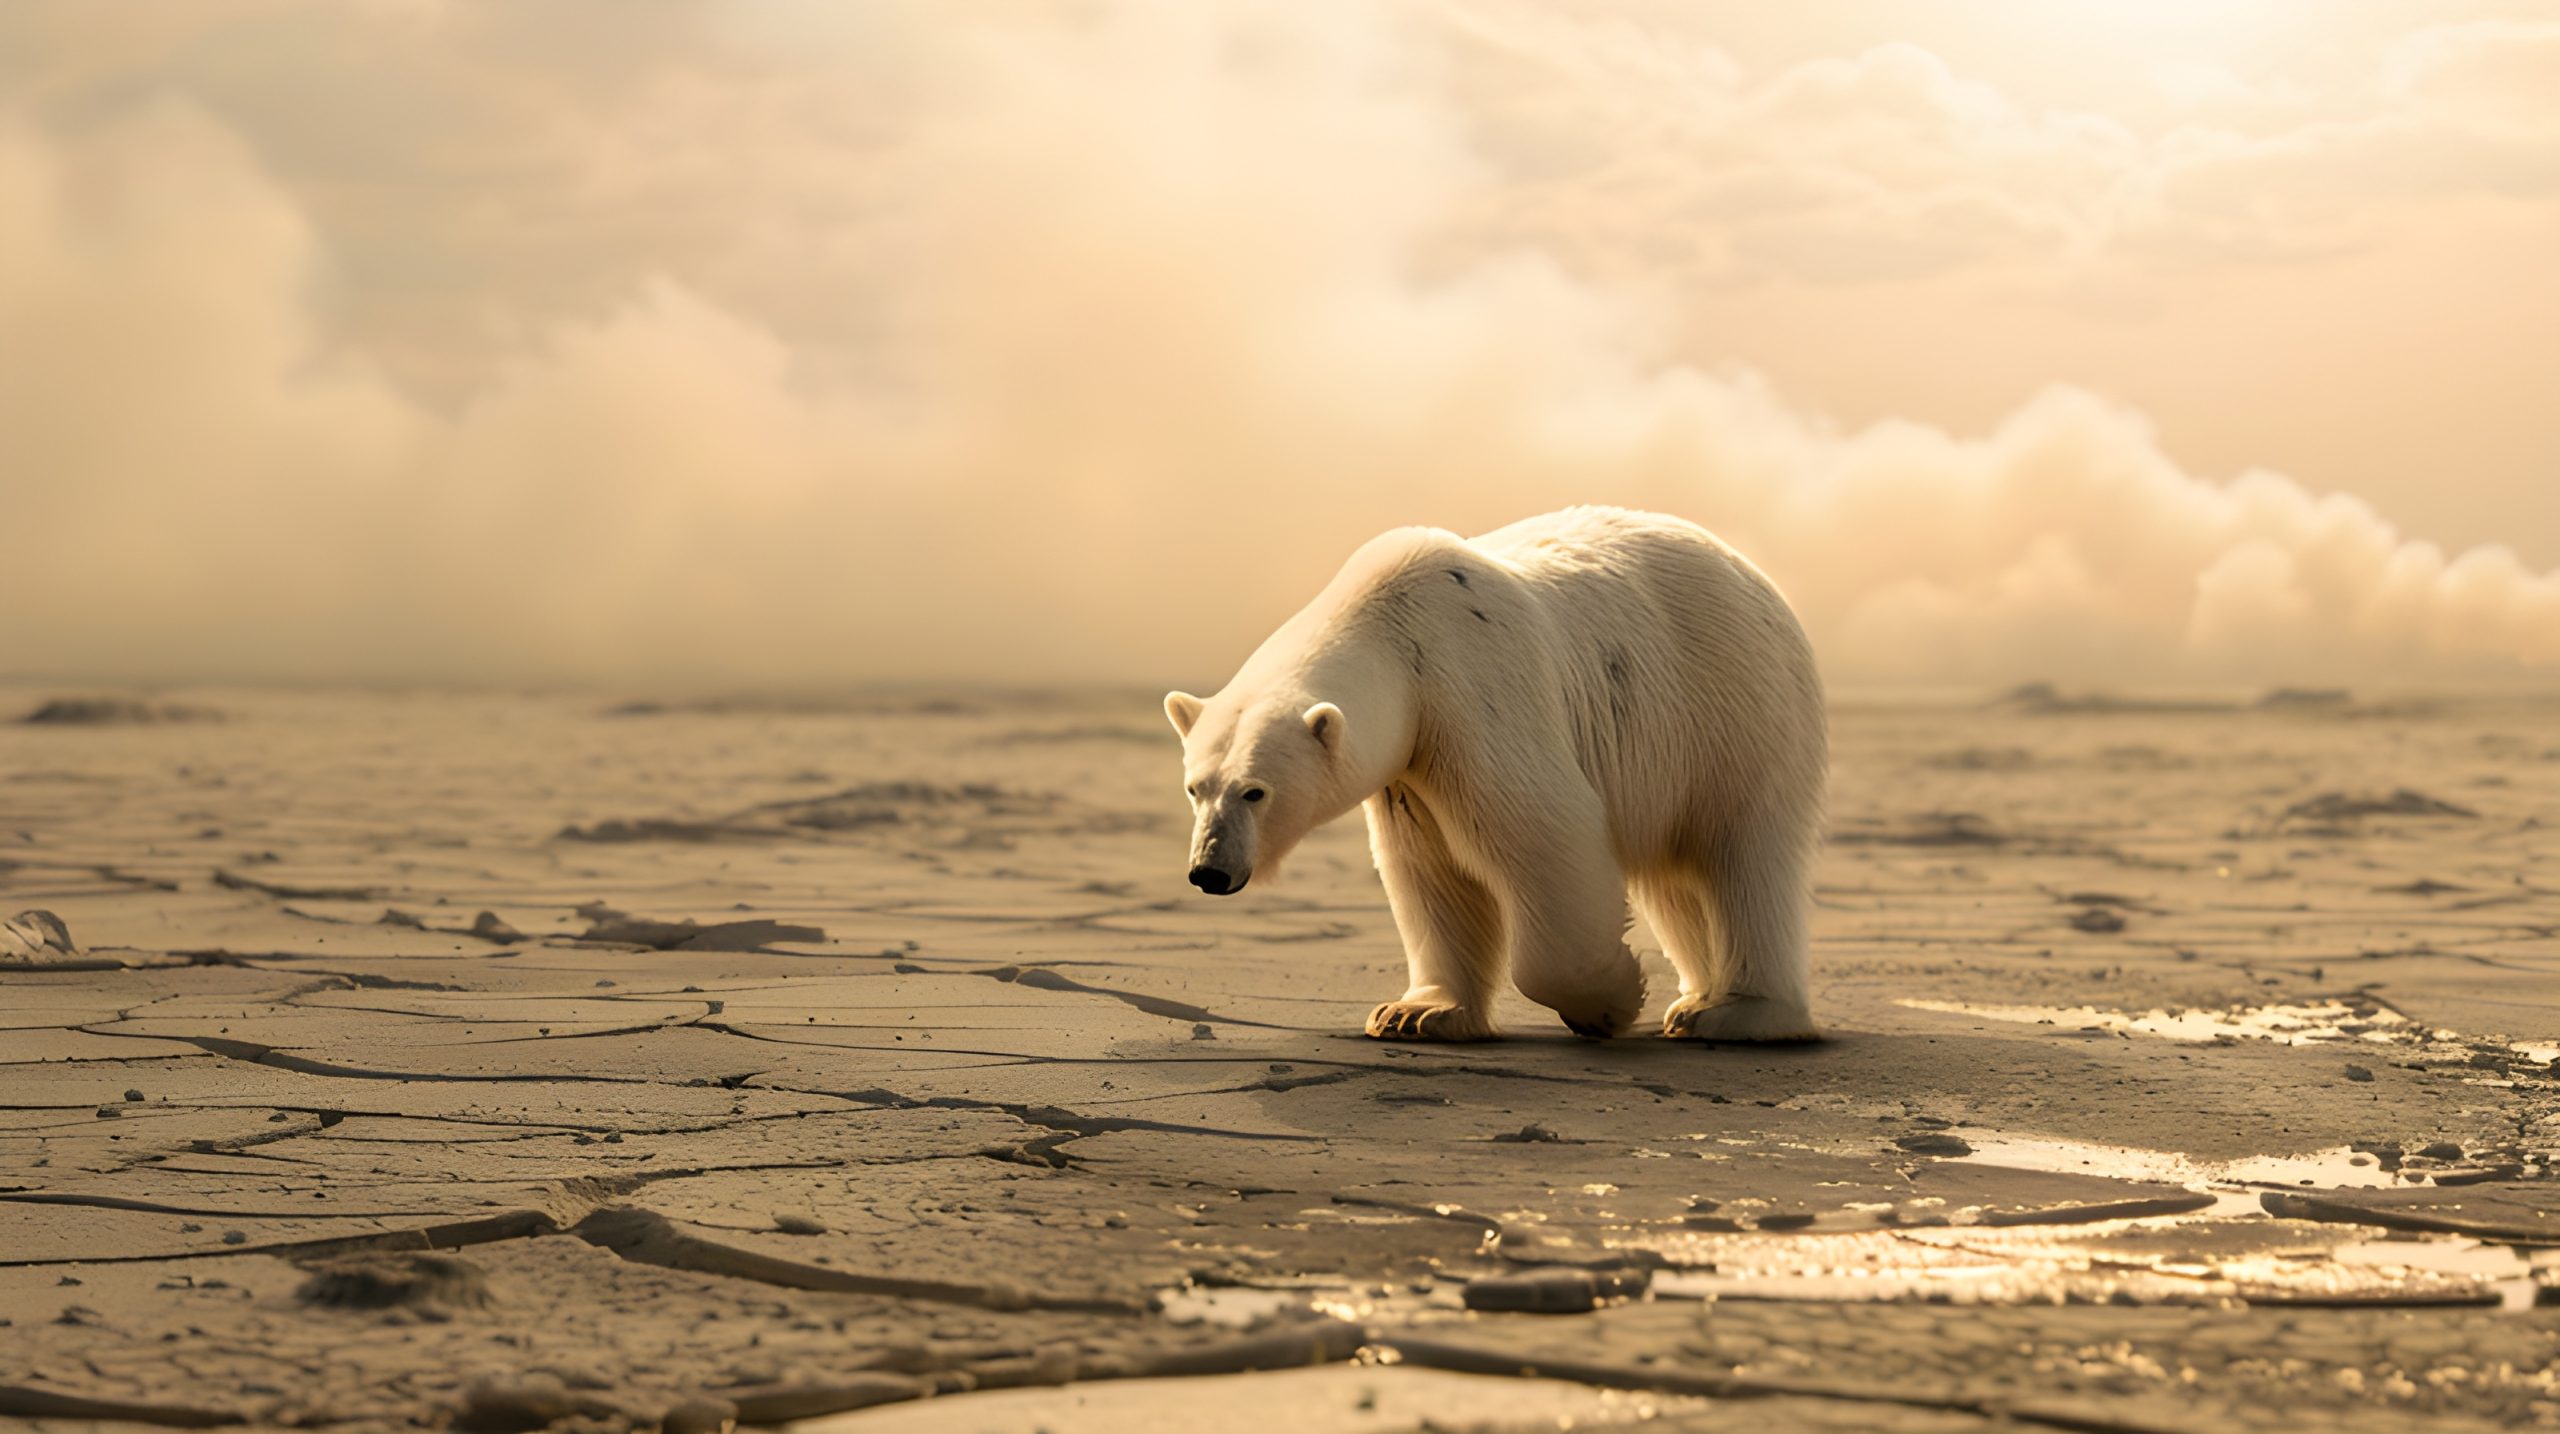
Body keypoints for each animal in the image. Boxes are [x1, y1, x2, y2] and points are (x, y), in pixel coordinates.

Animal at [1163, 506, 1827, 1043]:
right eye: (1196, 787)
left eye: (1256, 791)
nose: (1209, 871)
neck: (1397, 635)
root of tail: (1750, 570)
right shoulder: (1410, 763)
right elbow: (1428, 869)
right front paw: (1416, 1014)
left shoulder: (1476, 688)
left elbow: (1544, 829)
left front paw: (1606, 1002)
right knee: (1675, 876)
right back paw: (1697, 998)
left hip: (1733, 707)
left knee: (1742, 853)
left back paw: (1737, 1013)